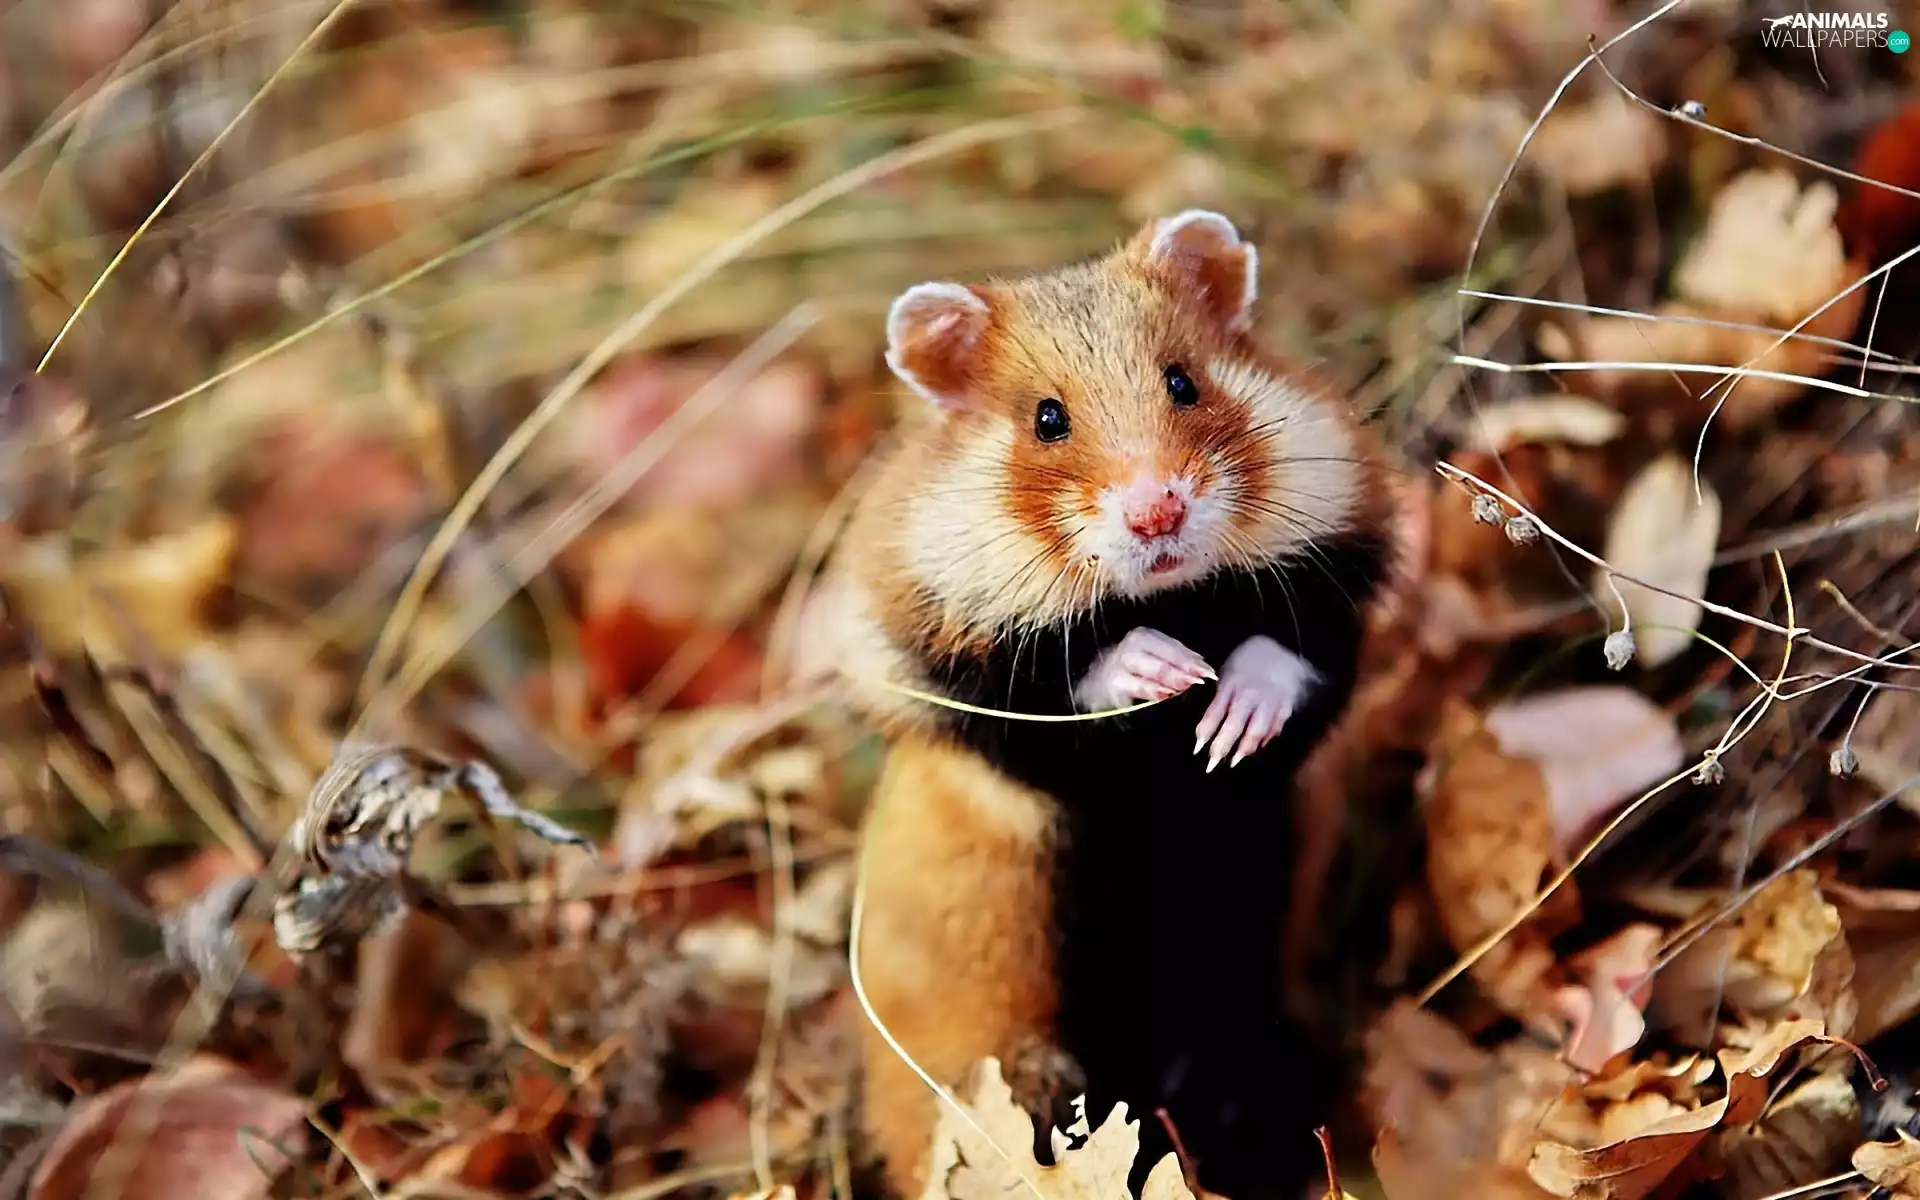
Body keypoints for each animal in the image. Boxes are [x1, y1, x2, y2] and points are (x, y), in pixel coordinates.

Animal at [803, 210, 1398, 1200]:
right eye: (1048, 419)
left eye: (1184, 380)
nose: (1158, 514)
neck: (1178, 598)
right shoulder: (962, 687)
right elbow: (1061, 679)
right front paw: (1163, 669)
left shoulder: (1337, 599)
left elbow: (1290, 657)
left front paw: (1224, 722)